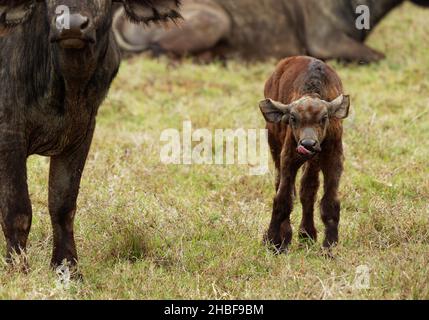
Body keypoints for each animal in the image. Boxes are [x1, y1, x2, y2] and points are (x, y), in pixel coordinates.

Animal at [0, 0, 181, 270]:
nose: (71, 25)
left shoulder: (81, 134)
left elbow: (63, 205)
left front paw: (67, 267)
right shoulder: (9, 134)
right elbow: (17, 210)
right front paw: (18, 269)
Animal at [260, 56, 350, 254]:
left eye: (324, 118)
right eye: (293, 118)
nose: (308, 144)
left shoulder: (334, 158)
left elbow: (329, 201)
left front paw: (329, 246)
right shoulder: (289, 158)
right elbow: (283, 200)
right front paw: (272, 242)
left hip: (313, 162)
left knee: (308, 189)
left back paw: (307, 234)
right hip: (274, 144)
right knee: (282, 184)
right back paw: (287, 236)